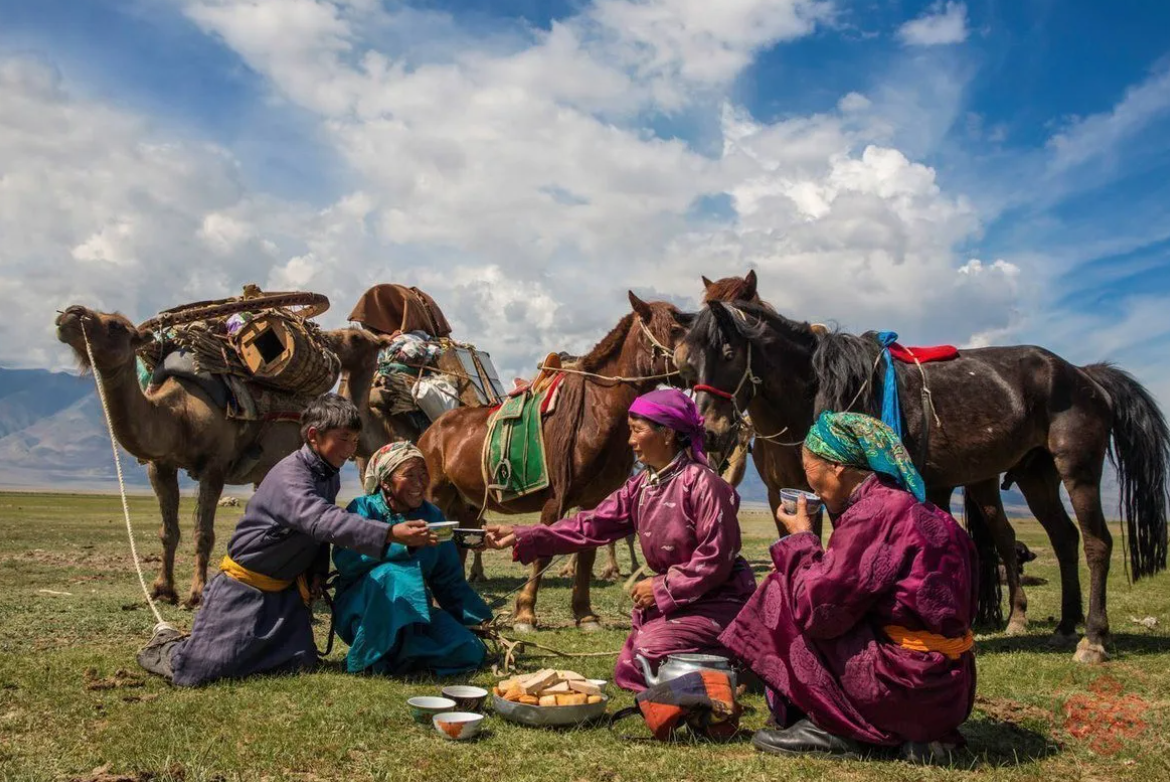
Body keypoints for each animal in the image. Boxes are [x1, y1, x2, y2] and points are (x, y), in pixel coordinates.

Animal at [55, 304, 301, 604]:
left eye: (115, 325)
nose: (70, 313)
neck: (180, 415)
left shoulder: (215, 466)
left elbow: (203, 533)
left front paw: (197, 592)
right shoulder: (160, 466)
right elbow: (168, 532)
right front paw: (163, 589)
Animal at [421, 296, 692, 632]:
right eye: (674, 330)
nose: (695, 364)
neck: (597, 413)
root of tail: (432, 431)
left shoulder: (594, 501)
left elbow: (587, 553)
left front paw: (585, 613)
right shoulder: (555, 499)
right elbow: (543, 553)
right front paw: (525, 613)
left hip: (467, 506)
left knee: (458, 549)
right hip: (435, 496)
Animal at [678, 296, 1170, 664]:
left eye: (728, 354)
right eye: (687, 365)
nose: (711, 431)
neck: (818, 393)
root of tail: (1084, 375)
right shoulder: (795, 493)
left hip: (1077, 468)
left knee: (1096, 543)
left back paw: (1093, 639)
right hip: (1036, 474)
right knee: (1064, 539)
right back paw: (1067, 628)